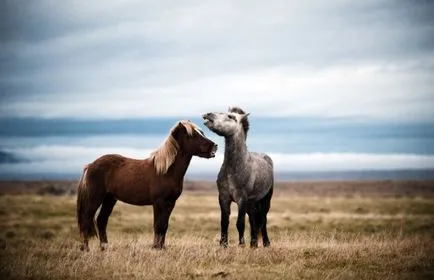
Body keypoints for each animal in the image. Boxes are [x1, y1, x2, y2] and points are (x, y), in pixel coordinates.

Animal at [76, 119, 217, 250]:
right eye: (192, 135)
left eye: (202, 133)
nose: (214, 146)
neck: (165, 171)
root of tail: (90, 166)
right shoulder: (158, 202)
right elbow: (158, 225)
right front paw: (156, 248)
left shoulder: (170, 203)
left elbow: (164, 226)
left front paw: (161, 247)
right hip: (95, 199)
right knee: (86, 220)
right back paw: (86, 249)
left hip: (109, 199)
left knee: (101, 221)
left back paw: (104, 248)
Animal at [202, 106, 272, 247]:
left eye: (231, 116)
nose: (208, 114)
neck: (233, 169)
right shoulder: (223, 197)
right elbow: (224, 222)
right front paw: (223, 245)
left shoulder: (242, 199)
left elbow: (240, 223)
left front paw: (241, 245)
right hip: (252, 203)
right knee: (253, 220)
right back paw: (253, 244)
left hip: (266, 199)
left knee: (263, 219)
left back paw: (266, 243)